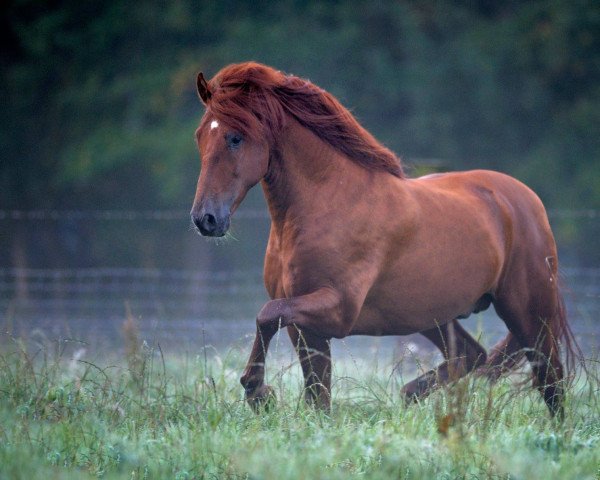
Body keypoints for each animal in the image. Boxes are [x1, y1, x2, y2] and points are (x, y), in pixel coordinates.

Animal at [191, 62, 576, 418]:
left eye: (235, 137)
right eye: (200, 136)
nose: (205, 219)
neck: (328, 201)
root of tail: (528, 201)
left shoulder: (337, 311)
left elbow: (267, 315)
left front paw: (258, 391)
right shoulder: (305, 327)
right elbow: (318, 393)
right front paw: (268, 398)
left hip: (528, 313)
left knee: (551, 381)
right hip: (431, 315)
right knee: (471, 355)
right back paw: (409, 395)